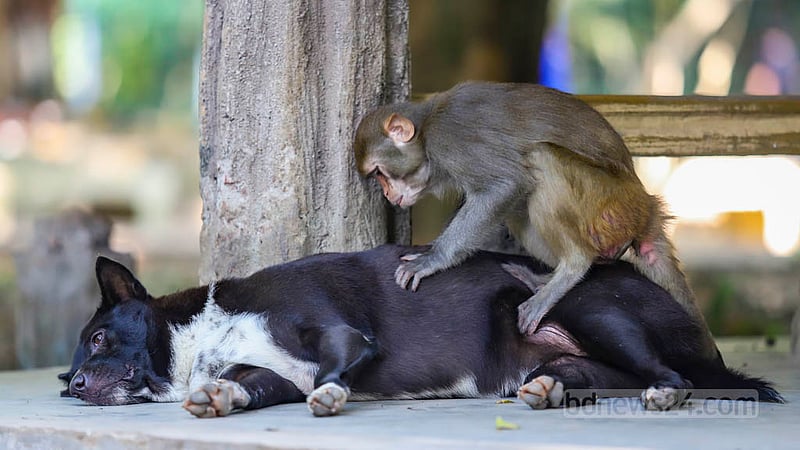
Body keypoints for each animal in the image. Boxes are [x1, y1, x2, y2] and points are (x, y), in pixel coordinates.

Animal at [354, 81, 707, 336]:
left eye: (380, 173)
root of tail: (645, 204)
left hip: (609, 206)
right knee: (519, 206)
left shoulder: (452, 140)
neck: (427, 127)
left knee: (540, 160)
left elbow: (504, 185)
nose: (388, 194)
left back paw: (570, 269)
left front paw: (432, 259)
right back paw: (543, 280)